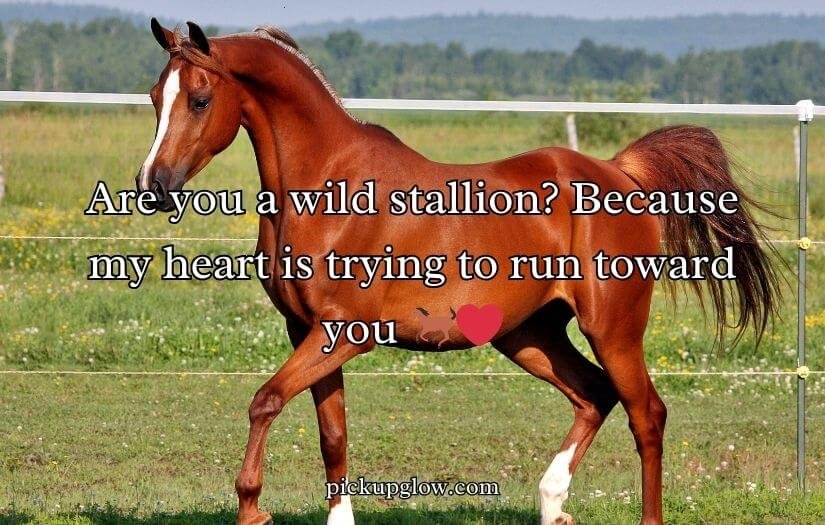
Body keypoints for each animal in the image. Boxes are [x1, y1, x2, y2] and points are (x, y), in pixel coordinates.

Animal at [138, 19, 779, 525]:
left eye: (199, 99)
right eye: (153, 97)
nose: (153, 186)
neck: (326, 186)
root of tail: (622, 173)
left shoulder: (342, 334)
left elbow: (265, 400)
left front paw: (251, 506)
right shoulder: (307, 332)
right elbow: (331, 433)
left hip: (613, 328)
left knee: (646, 414)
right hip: (528, 335)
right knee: (594, 395)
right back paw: (552, 503)